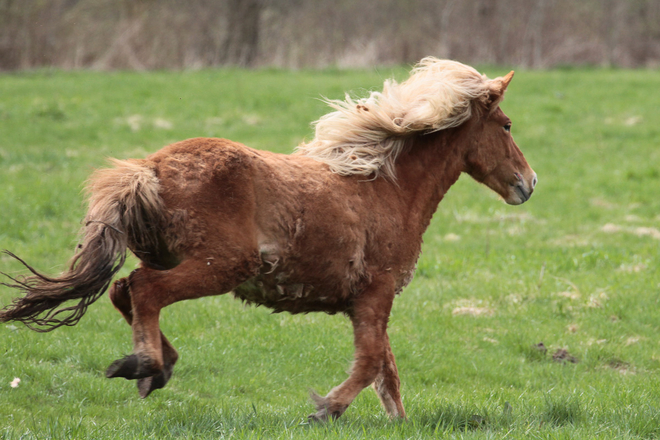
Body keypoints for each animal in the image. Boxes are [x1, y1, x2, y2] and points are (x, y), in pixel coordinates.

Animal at [0, 56, 536, 422]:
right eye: (507, 125)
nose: (528, 184)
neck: (385, 187)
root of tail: (148, 168)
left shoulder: (367, 302)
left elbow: (387, 372)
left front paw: (397, 423)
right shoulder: (376, 295)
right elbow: (369, 365)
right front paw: (325, 409)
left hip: (174, 259)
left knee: (123, 290)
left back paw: (158, 365)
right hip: (218, 267)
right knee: (144, 291)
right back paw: (146, 365)